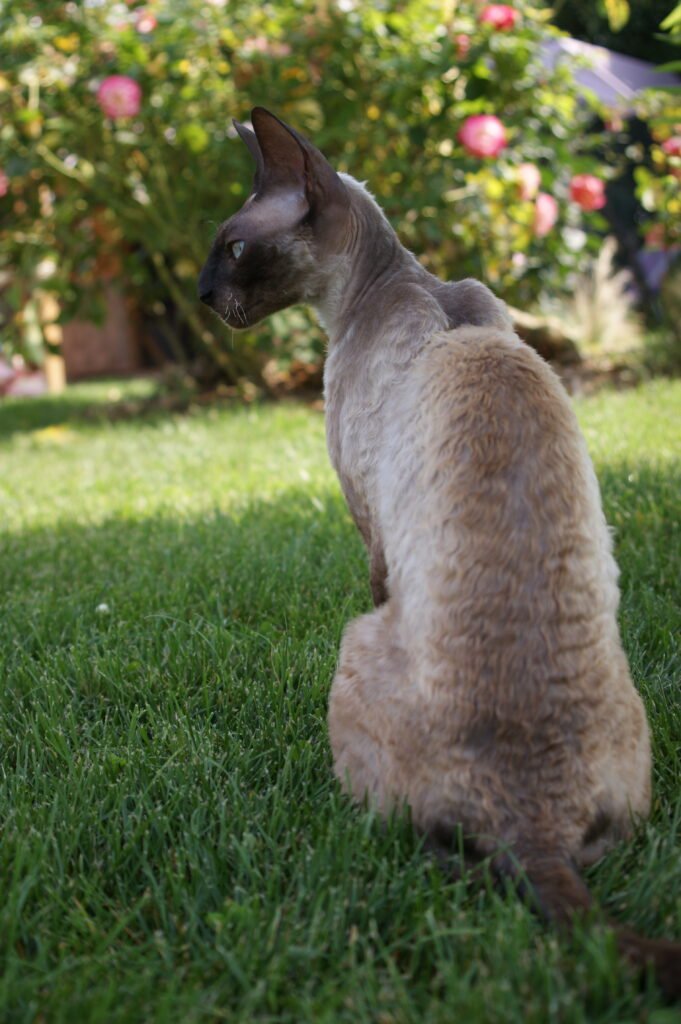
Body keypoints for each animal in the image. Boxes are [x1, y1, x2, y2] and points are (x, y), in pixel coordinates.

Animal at [197, 108, 679, 995]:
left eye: (234, 248)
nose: (202, 295)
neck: (394, 284)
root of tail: (533, 824)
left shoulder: (367, 525)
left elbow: (373, 569)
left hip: (357, 640)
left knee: (431, 846)